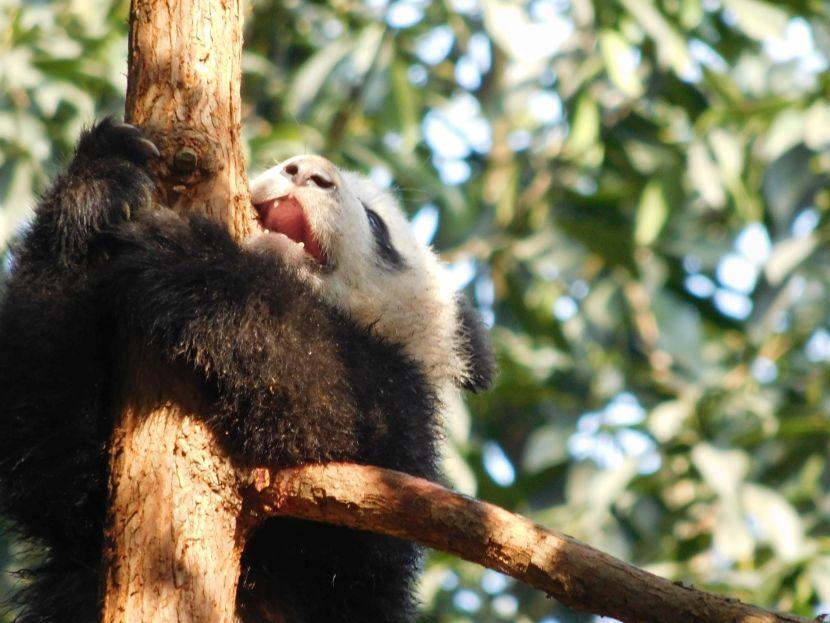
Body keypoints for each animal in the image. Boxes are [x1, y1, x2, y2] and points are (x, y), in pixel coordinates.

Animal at [0, 118, 494, 623]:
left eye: (377, 225)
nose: (307, 171)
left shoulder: (394, 455)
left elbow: (329, 404)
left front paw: (194, 260)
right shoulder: (81, 508)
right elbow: (48, 434)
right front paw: (100, 183)